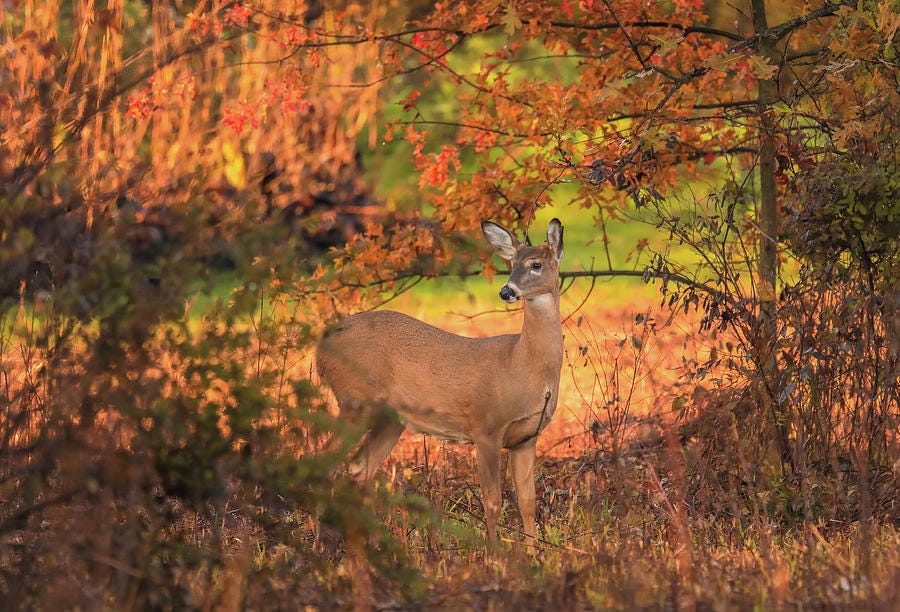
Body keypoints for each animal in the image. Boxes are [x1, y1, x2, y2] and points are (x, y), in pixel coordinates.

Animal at [316, 218, 564, 541]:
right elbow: (492, 502)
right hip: (354, 400)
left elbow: (527, 503)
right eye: (511, 264)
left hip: (388, 419)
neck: (522, 364)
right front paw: (494, 552)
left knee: (359, 469)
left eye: (535, 264)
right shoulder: (486, 426)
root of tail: (322, 345)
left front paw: (534, 551)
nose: (506, 291)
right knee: (324, 463)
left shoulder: (526, 438)